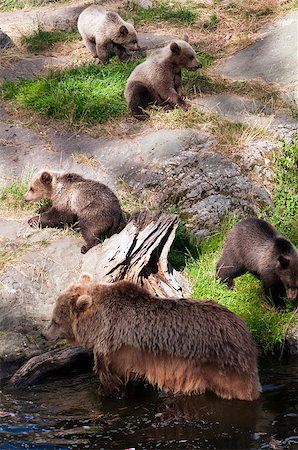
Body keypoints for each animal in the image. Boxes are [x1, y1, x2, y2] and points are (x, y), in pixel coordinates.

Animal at [43, 274, 260, 400]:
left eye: (55, 320)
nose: (44, 333)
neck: (98, 325)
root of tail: (243, 327)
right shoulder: (134, 357)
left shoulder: (114, 349)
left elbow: (110, 380)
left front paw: (104, 393)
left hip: (223, 363)